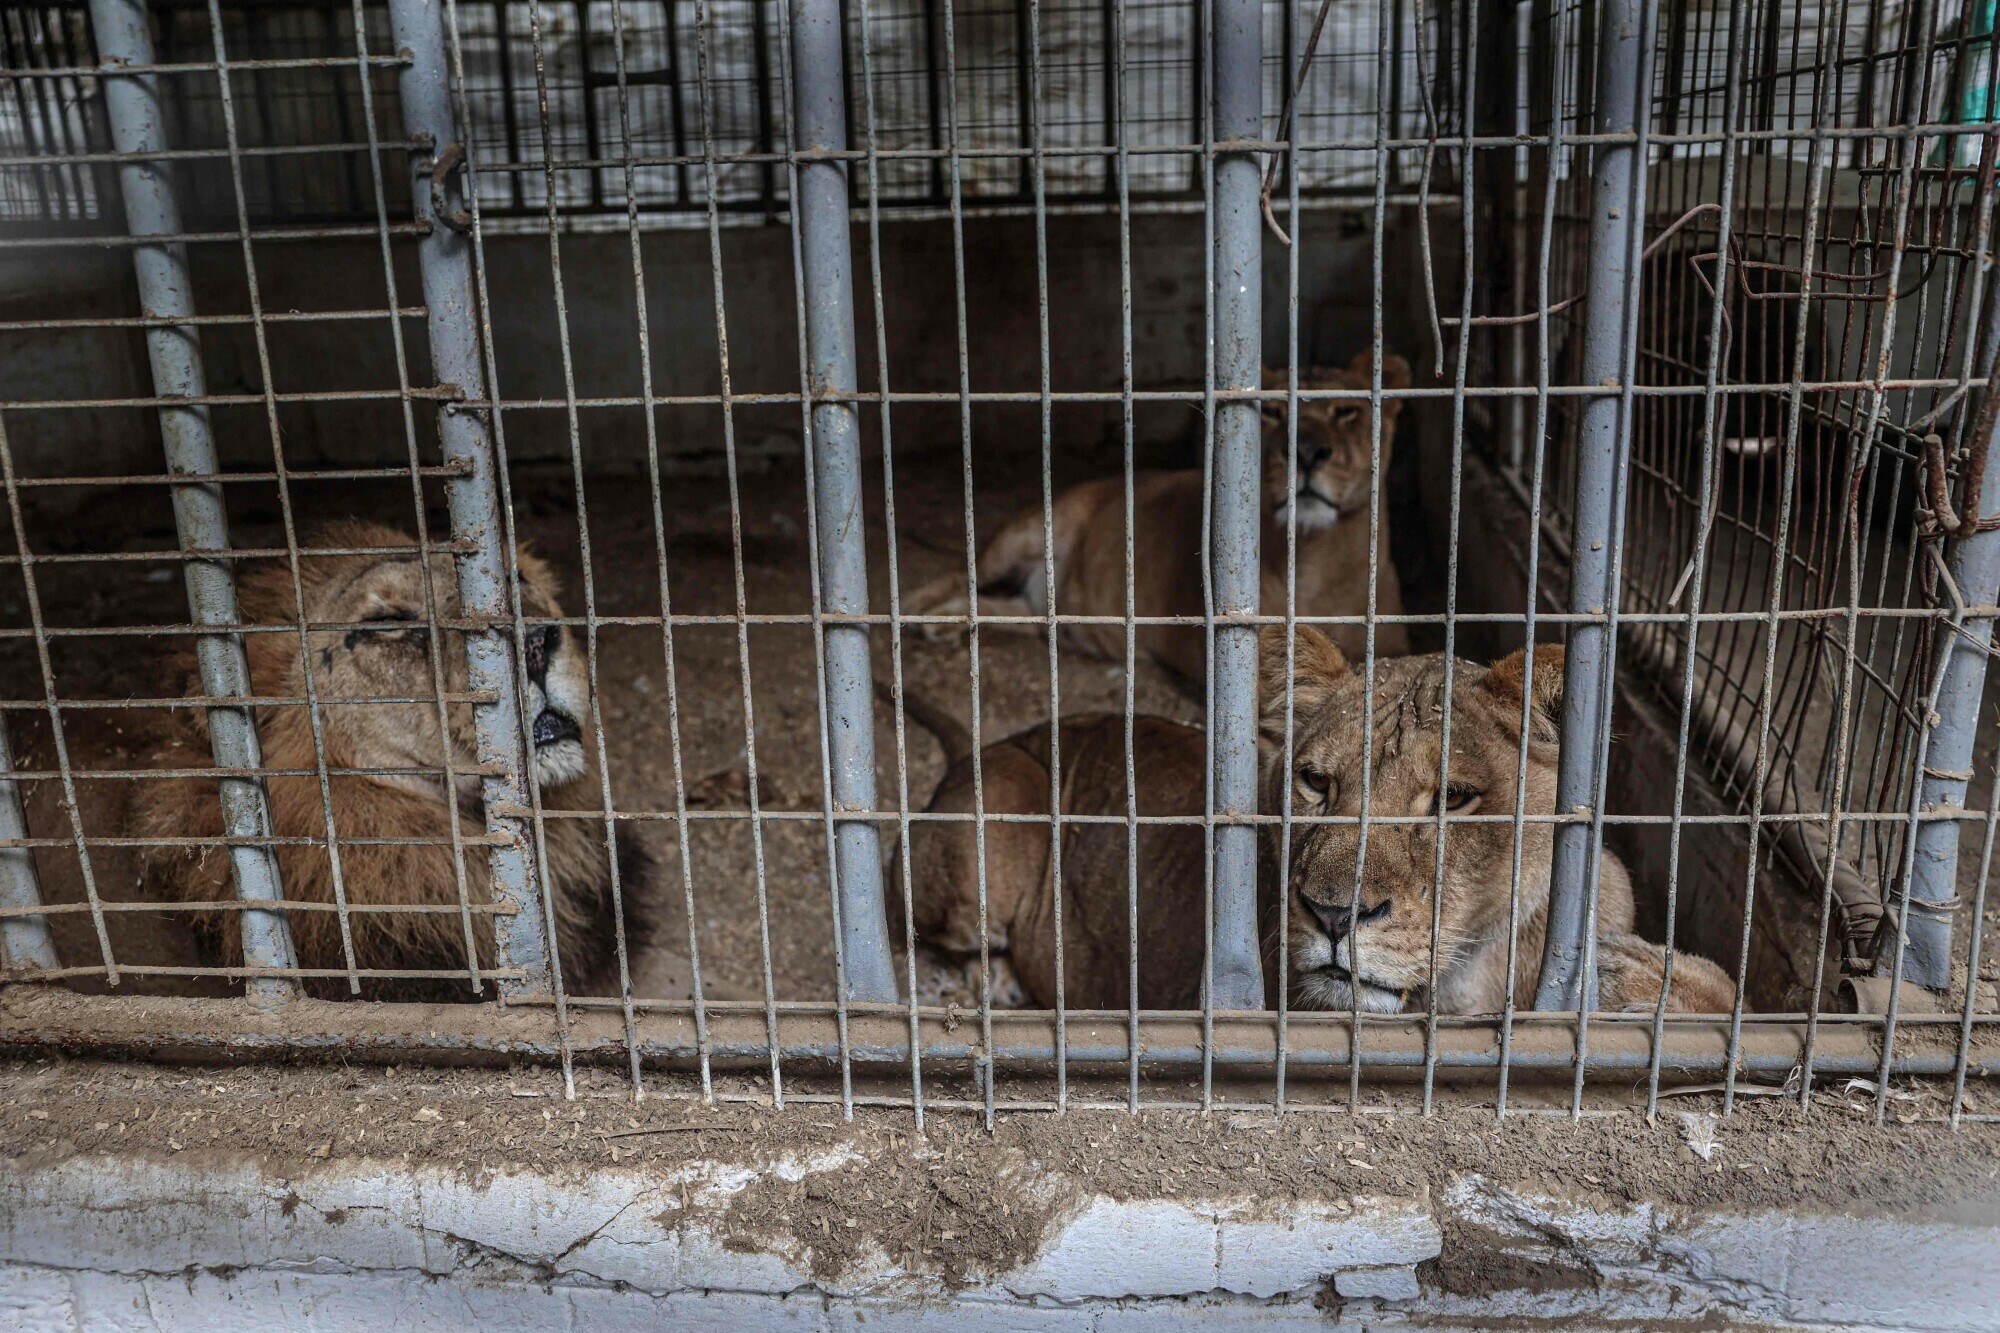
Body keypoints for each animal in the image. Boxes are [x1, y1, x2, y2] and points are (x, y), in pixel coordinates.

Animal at [887, 628, 1734, 1015]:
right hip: (995, 827)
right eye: (1316, 783)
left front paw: (1643, 976)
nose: (1333, 915)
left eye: (1454, 797)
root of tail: (987, 744)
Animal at [901, 352, 1413, 690]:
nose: (1305, 452)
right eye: (1271, 412)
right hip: (1033, 528)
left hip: (1044, 609)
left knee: (1018, 613)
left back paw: (948, 622)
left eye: (1347, 411)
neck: (1313, 561)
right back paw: (912, 612)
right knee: (963, 574)